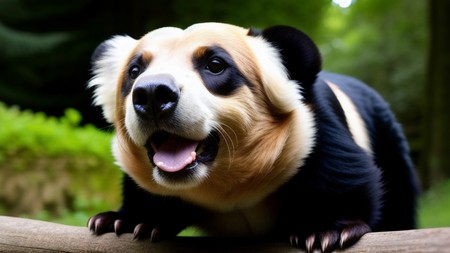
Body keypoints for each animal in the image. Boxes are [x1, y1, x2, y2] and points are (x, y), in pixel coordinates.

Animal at [87, 22, 418, 252]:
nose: (153, 93)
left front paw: (327, 229)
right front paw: (126, 221)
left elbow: (345, 172)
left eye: (215, 65)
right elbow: (144, 191)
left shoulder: (311, 130)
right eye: (134, 70)